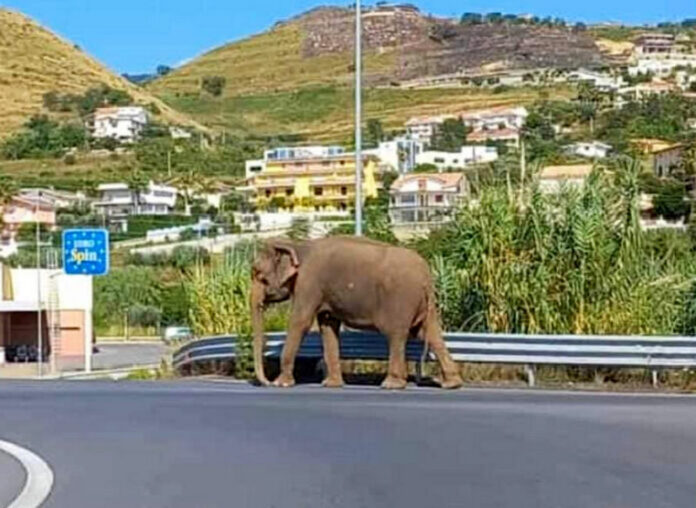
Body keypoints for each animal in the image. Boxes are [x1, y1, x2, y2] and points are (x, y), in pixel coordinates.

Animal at [250, 236, 464, 390]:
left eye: (259, 275)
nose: (266, 382)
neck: (297, 245)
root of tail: (426, 277)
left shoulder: (309, 283)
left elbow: (300, 321)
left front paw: (281, 383)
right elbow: (328, 326)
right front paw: (331, 385)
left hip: (401, 299)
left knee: (397, 334)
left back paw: (391, 385)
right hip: (426, 304)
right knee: (429, 333)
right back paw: (451, 384)